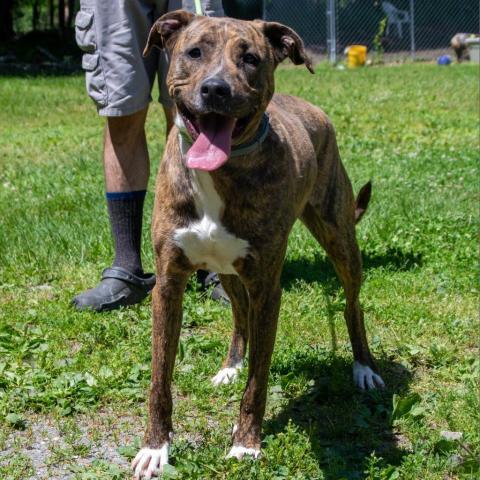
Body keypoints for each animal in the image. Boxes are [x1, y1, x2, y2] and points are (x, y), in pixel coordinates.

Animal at [132, 9, 386, 478]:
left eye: (250, 58)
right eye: (194, 52)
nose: (216, 89)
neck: (219, 173)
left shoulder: (268, 287)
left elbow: (259, 380)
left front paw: (245, 444)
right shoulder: (169, 283)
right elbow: (160, 378)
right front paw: (155, 447)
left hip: (339, 234)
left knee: (351, 304)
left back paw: (364, 367)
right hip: (230, 272)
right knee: (238, 316)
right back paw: (230, 366)